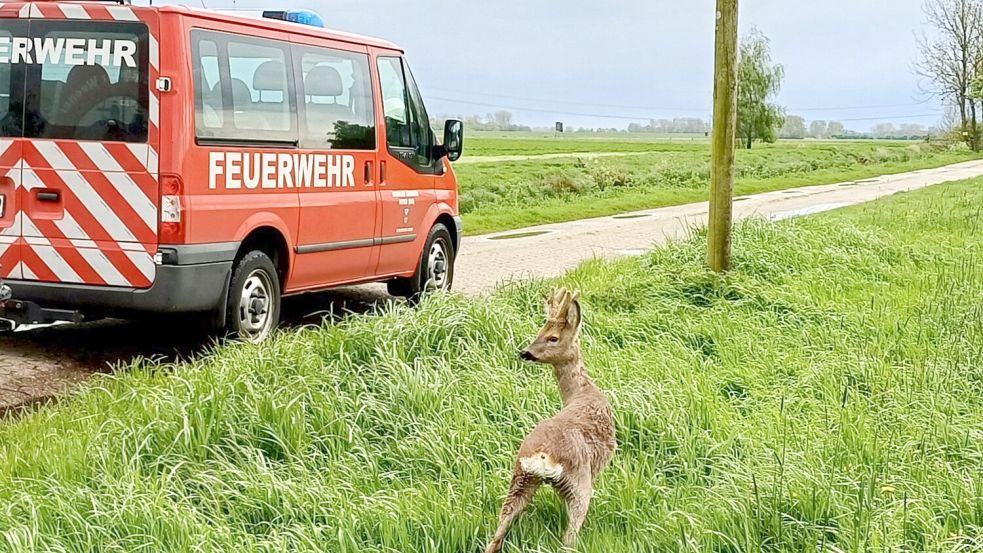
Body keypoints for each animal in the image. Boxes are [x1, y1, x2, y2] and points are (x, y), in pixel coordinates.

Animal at [484, 286, 616, 548]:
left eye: (551, 337)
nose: (525, 352)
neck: (582, 392)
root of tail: (542, 454)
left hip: (520, 476)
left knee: (496, 535)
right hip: (579, 481)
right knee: (569, 538)